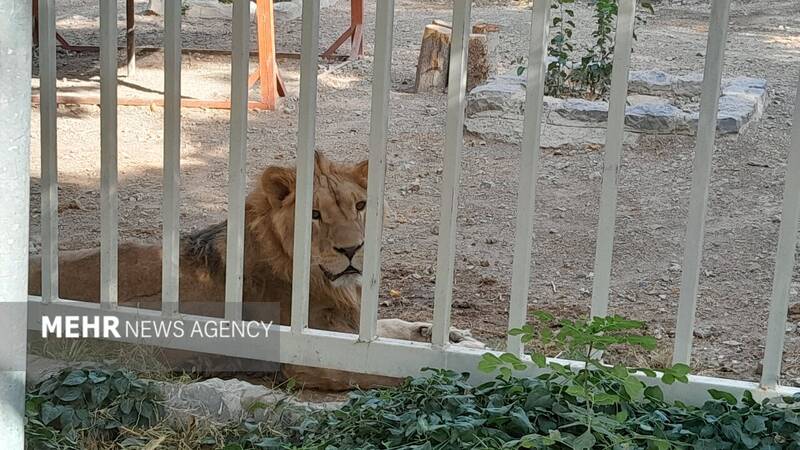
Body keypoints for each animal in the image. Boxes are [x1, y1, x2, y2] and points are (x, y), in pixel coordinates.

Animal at [28, 152, 484, 390]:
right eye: (314, 215)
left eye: (360, 206)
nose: (353, 249)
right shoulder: (310, 360)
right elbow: (396, 373)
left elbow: (392, 330)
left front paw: (449, 335)